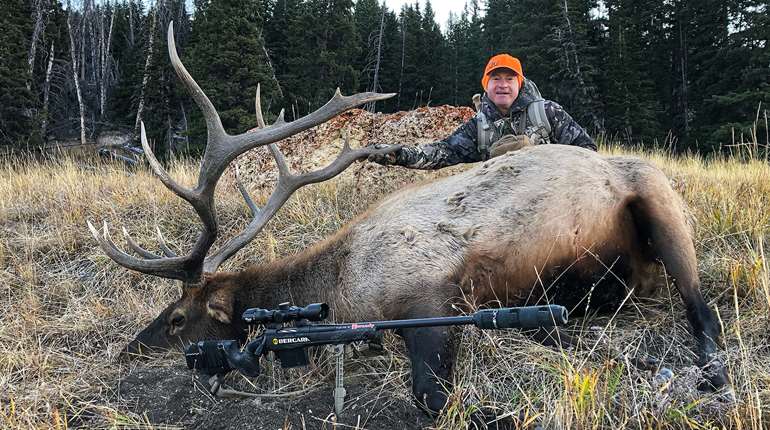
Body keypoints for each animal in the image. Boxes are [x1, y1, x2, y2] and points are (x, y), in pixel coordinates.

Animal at [89, 23, 729, 414]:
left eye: (177, 318)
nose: (126, 351)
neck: (337, 287)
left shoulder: (431, 299)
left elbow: (430, 395)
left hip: (661, 204)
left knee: (704, 311)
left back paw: (712, 376)